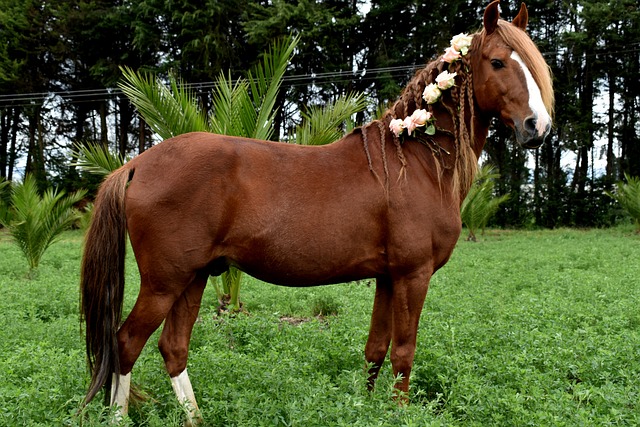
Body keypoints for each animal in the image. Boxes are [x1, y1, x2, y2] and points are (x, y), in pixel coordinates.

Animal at [79, 1, 552, 424]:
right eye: (497, 62)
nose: (538, 127)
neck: (415, 159)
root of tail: (137, 164)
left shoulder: (387, 277)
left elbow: (375, 349)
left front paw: (367, 408)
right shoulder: (412, 275)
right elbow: (404, 351)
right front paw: (398, 412)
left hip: (193, 278)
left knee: (172, 348)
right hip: (164, 282)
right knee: (126, 343)